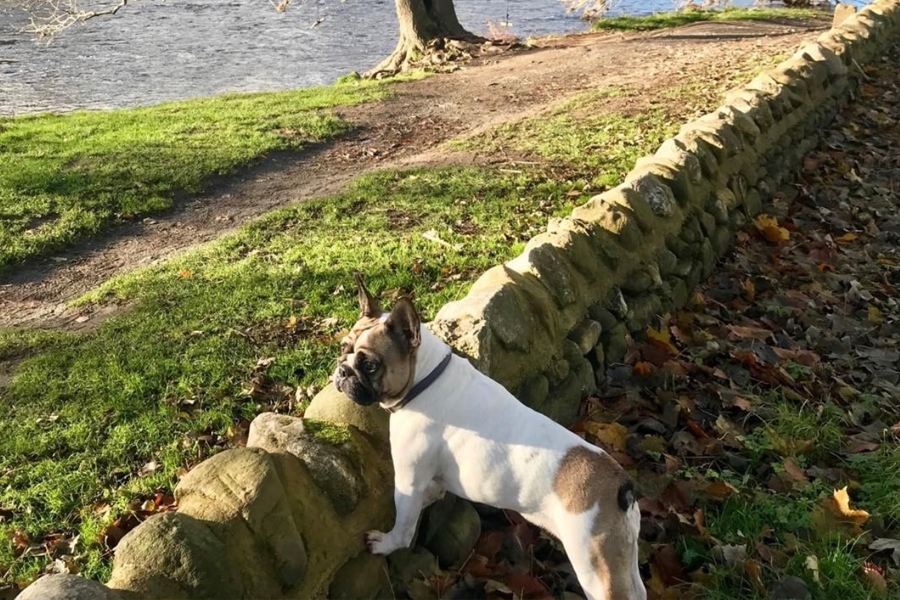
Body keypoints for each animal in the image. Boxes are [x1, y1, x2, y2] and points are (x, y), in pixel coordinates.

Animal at [334, 278, 644, 600]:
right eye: (342, 348)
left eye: (370, 365)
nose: (342, 370)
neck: (424, 379)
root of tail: (622, 485)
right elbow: (433, 491)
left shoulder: (407, 479)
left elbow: (404, 524)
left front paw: (386, 543)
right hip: (622, 556)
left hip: (594, 565)